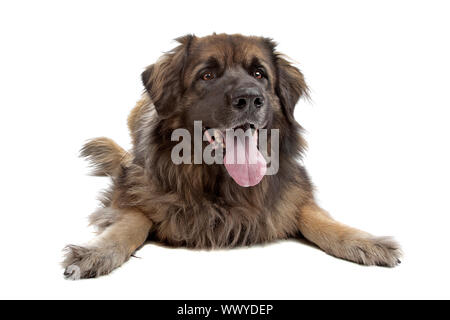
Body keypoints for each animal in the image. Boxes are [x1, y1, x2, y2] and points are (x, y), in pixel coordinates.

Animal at [62, 33, 400, 280]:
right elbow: (130, 223)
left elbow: (316, 218)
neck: (219, 182)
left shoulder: (291, 192)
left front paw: (363, 241)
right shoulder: (133, 193)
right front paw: (96, 252)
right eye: (207, 75)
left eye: (259, 73)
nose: (250, 98)